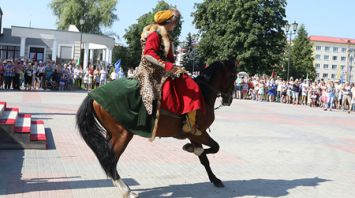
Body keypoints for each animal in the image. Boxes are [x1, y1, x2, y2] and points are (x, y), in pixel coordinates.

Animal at [76, 59, 236, 197]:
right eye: (234, 76)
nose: (229, 99)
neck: (203, 94)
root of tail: (93, 95)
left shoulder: (194, 135)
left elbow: (204, 158)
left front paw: (214, 178)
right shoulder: (199, 133)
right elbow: (214, 148)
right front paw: (191, 149)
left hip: (112, 134)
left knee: (106, 158)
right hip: (122, 135)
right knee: (110, 160)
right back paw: (126, 190)